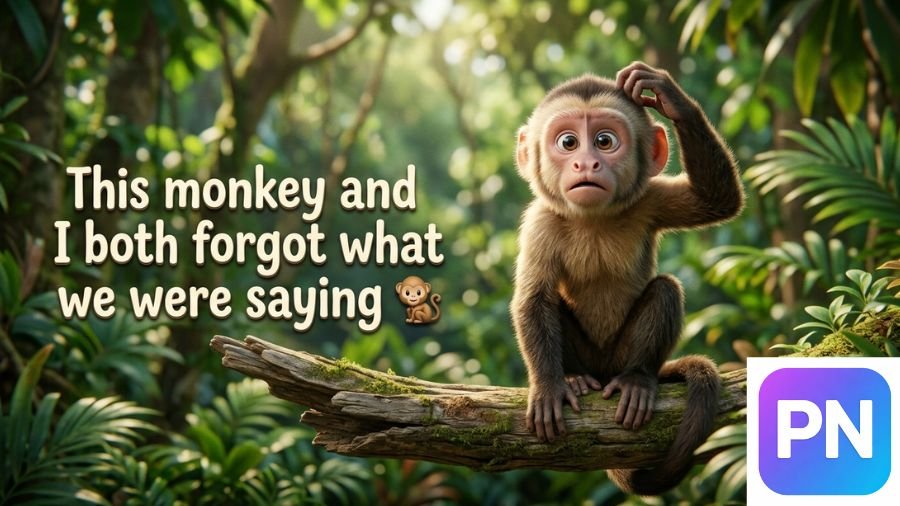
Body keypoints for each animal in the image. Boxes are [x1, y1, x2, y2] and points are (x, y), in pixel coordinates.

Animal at [510, 61, 744, 495]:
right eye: (568, 142)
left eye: (604, 141)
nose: (586, 164)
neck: (594, 219)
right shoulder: (540, 222)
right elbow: (533, 300)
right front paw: (549, 386)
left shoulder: (648, 199)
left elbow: (717, 201)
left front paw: (670, 97)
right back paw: (574, 378)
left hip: (618, 358)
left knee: (665, 290)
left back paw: (637, 379)